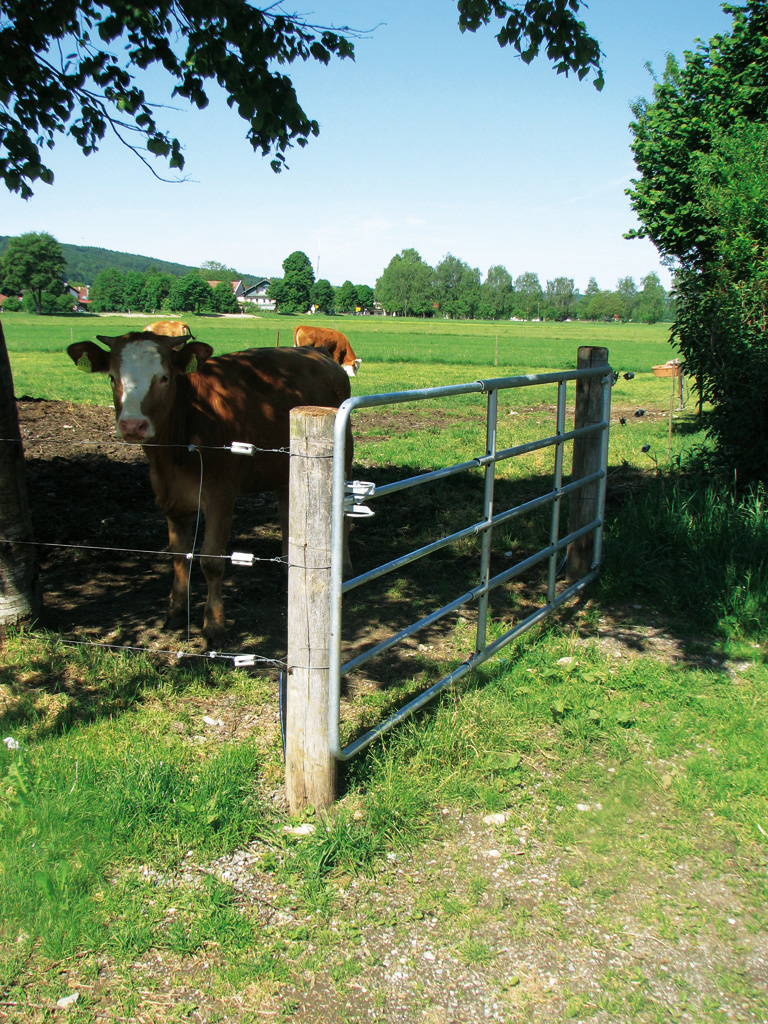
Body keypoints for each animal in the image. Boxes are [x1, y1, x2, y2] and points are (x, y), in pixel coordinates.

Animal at [67, 332, 352, 648]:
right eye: (112, 378)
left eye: (164, 378)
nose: (132, 425)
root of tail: (319, 353)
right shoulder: (171, 500)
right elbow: (179, 555)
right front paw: (176, 611)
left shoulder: (220, 497)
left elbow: (211, 560)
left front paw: (214, 625)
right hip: (283, 467)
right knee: (287, 512)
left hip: (344, 454)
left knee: (344, 511)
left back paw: (345, 566)